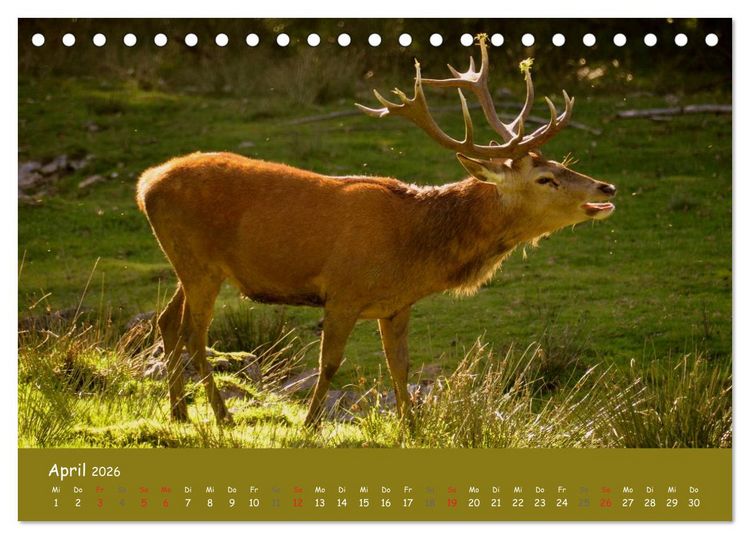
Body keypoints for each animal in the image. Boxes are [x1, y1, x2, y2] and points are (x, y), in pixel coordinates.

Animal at [136, 34, 616, 427]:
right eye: (545, 179)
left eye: (562, 164)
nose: (606, 187)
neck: (416, 248)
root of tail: (145, 184)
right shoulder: (343, 291)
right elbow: (331, 362)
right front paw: (310, 423)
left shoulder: (396, 304)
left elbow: (399, 366)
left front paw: (412, 427)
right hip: (197, 260)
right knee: (195, 334)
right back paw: (222, 415)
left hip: (191, 263)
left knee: (167, 322)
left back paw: (179, 412)